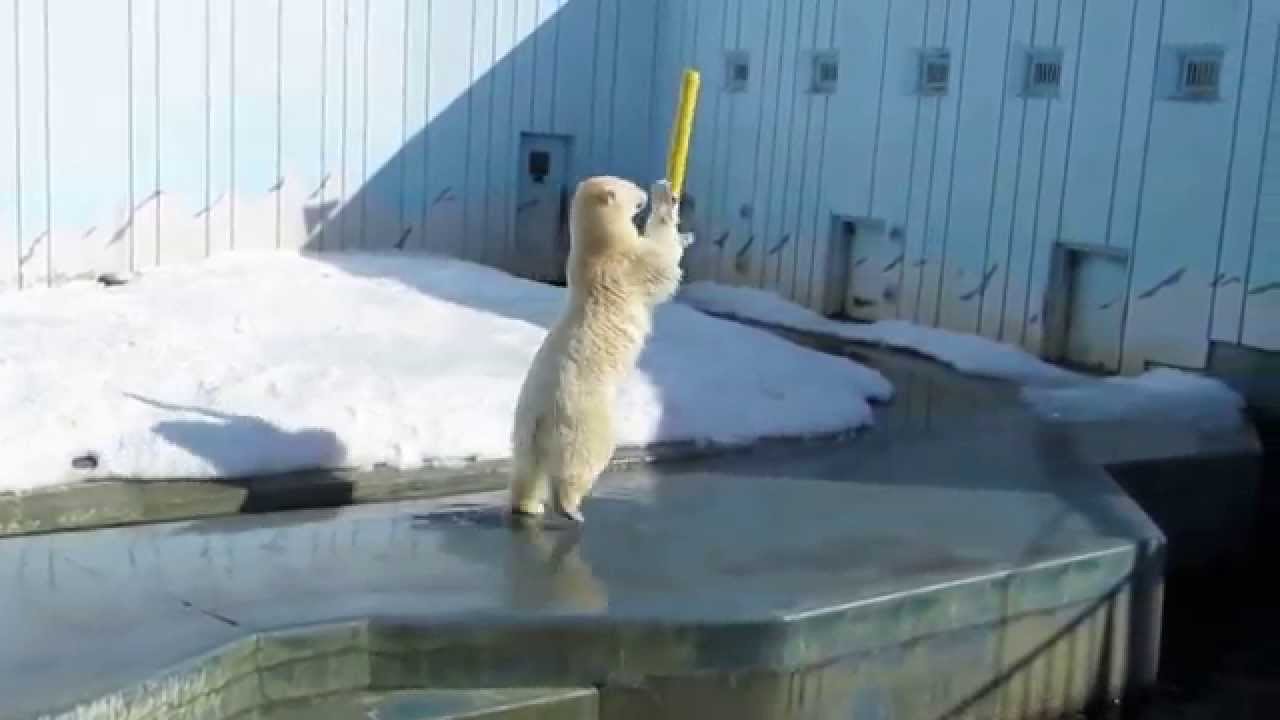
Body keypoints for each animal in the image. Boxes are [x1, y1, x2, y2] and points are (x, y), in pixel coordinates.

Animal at [509, 175, 688, 523]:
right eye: (631, 187)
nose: (643, 193)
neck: (597, 248)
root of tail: (540, 416)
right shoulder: (628, 265)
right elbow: (661, 261)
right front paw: (666, 199)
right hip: (583, 418)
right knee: (583, 459)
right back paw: (570, 508)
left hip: (524, 429)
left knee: (527, 469)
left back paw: (528, 505)